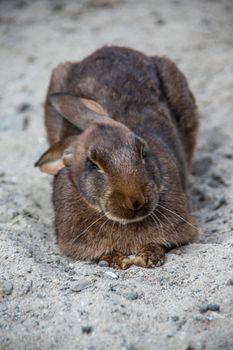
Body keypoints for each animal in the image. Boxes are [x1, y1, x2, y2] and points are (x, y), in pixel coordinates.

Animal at [34, 46, 198, 270]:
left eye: (142, 151)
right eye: (93, 163)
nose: (135, 202)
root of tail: (114, 49)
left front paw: (147, 257)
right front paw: (119, 260)